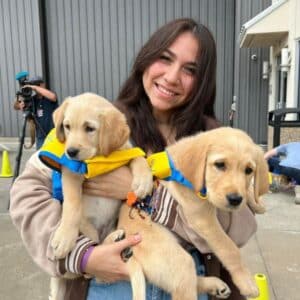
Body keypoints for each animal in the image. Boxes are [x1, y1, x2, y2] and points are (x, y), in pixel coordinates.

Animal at [118, 127, 270, 300]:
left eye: (249, 170)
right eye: (220, 165)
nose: (235, 200)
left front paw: (257, 202)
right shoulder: (202, 217)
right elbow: (229, 247)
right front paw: (246, 281)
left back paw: (216, 285)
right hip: (177, 260)